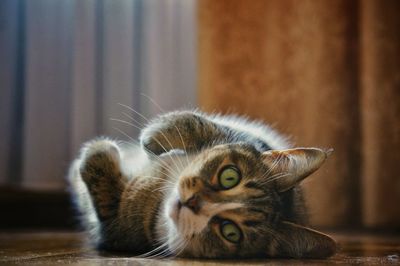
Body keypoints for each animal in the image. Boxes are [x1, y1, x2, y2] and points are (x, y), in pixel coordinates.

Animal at [68, 109, 334, 258]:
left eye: (230, 232)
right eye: (230, 176)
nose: (193, 202)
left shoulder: (118, 226)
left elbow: (104, 191)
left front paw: (98, 150)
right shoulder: (247, 137)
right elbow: (201, 125)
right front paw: (154, 138)